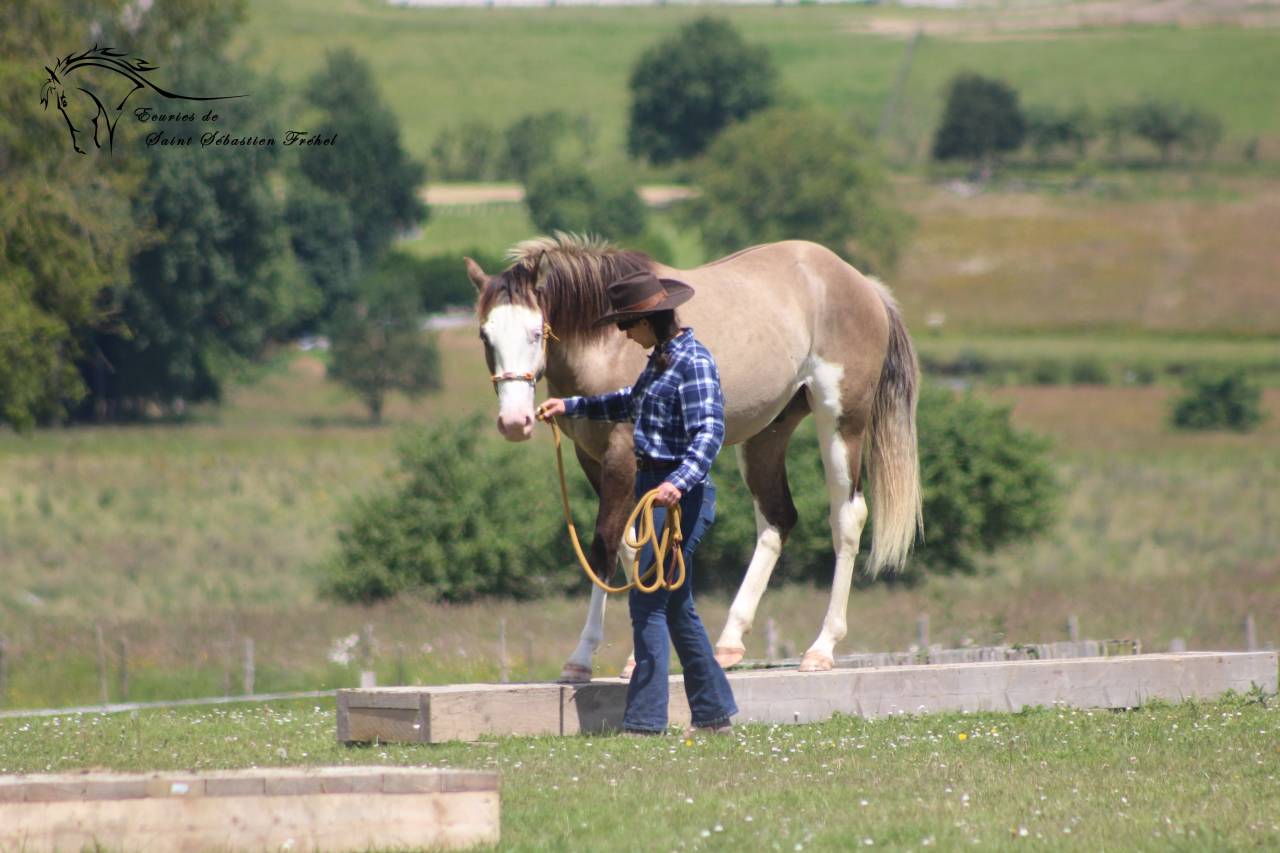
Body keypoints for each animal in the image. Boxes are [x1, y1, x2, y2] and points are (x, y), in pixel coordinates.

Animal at [467, 233, 922, 682]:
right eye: (485, 336)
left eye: (535, 332)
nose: (515, 422)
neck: (605, 342)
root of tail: (864, 285)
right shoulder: (592, 459)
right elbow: (633, 546)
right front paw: (634, 657)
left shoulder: (621, 456)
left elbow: (605, 545)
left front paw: (580, 659)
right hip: (766, 434)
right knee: (777, 518)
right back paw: (729, 643)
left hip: (841, 421)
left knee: (847, 518)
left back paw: (821, 648)